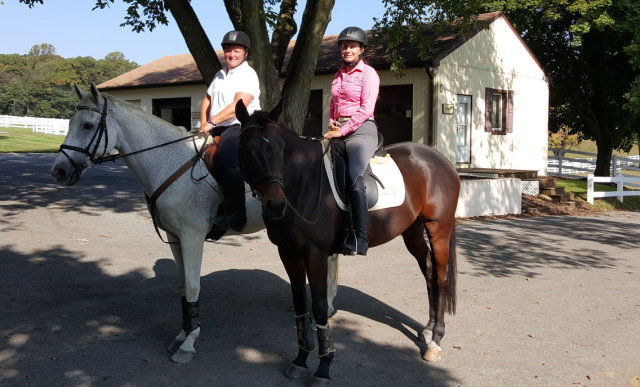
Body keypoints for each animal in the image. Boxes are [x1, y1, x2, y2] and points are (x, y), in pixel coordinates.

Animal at [50, 85, 340, 366]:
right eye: (70, 122)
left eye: (87, 125)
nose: (59, 171)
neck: (169, 161)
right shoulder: (175, 237)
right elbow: (182, 286)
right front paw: (182, 334)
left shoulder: (192, 236)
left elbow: (192, 286)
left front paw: (189, 343)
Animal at [235, 101, 460, 386]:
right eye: (246, 149)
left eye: (280, 147)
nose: (276, 205)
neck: (303, 181)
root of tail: (440, 159)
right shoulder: (288, 252)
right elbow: (300, 305)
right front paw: (300, 360)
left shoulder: (315, 254)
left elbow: (320, 307)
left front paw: (323, 367)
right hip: (412, 230)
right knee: (429, 270)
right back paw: (428, 329)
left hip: (438, 228)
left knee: (440, 277)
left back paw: (435, 341)